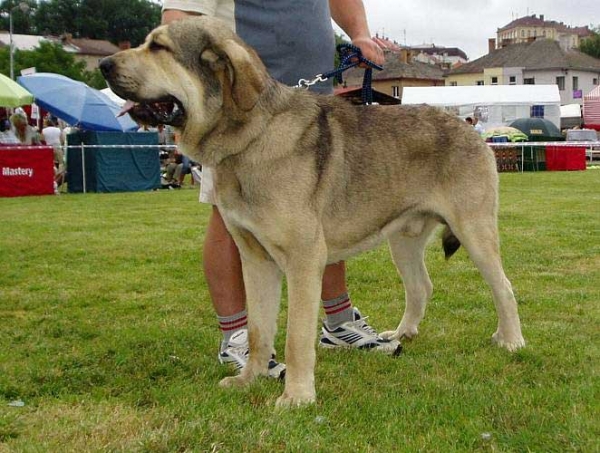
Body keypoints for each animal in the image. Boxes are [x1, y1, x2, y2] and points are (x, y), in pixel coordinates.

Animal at [101, 16, 524, 406]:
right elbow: (258, 330)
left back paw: (511, 341)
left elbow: (296, 336)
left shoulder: (304, 260)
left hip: (474, 230)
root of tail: (472, 131)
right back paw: (401, 334)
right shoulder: (255, 260)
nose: (104, 64)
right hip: (403, 241)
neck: (250, 136)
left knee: (503, 287)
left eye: (159, 47)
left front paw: (297, 397)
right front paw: (251, 378)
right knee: (422, 287)